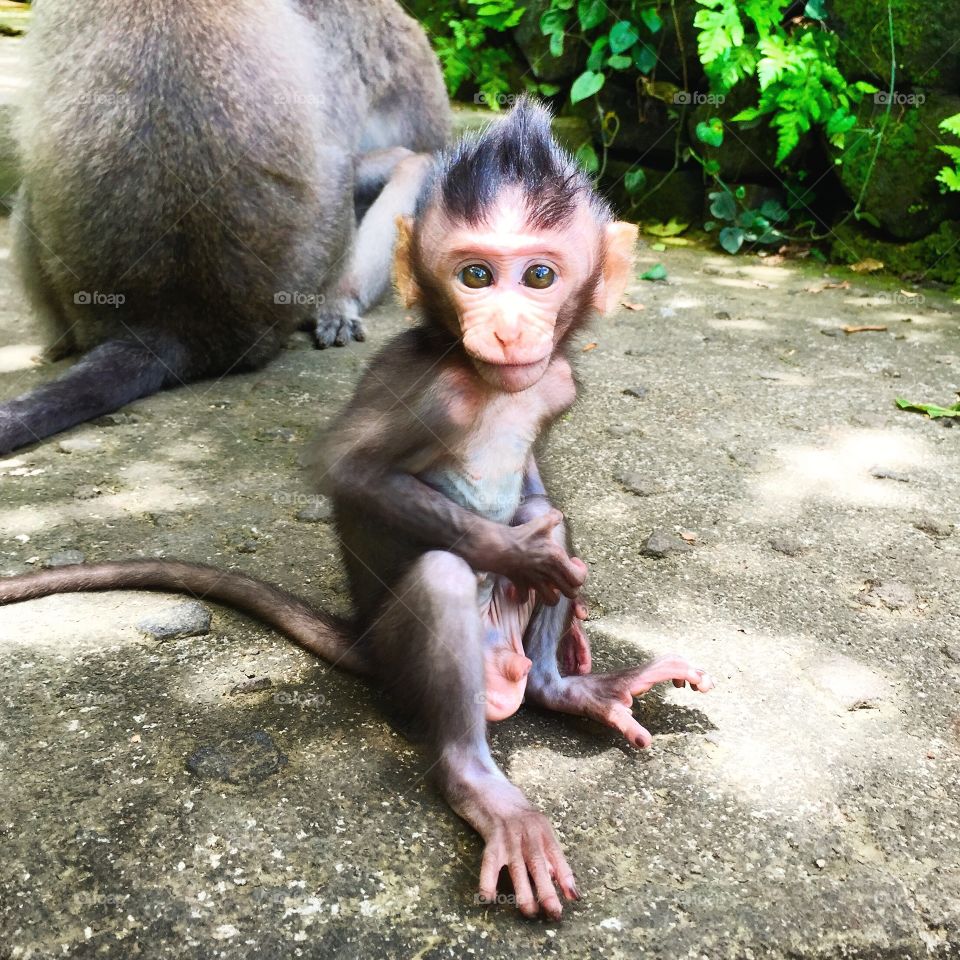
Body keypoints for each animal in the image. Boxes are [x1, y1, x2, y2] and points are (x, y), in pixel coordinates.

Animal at [0, 99, 713, 919]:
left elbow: (544, 505)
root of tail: (366, 642)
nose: (505, 327)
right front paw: (520, 554)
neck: (491, 385)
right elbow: (352, 473)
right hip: (403, 653)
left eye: (539, 276)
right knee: (442, 582)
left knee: (553, 557)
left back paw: (563, 689)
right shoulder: (424, 384)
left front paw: (571, 610)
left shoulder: (555, 379)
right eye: (475, 275)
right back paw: (477, 778)